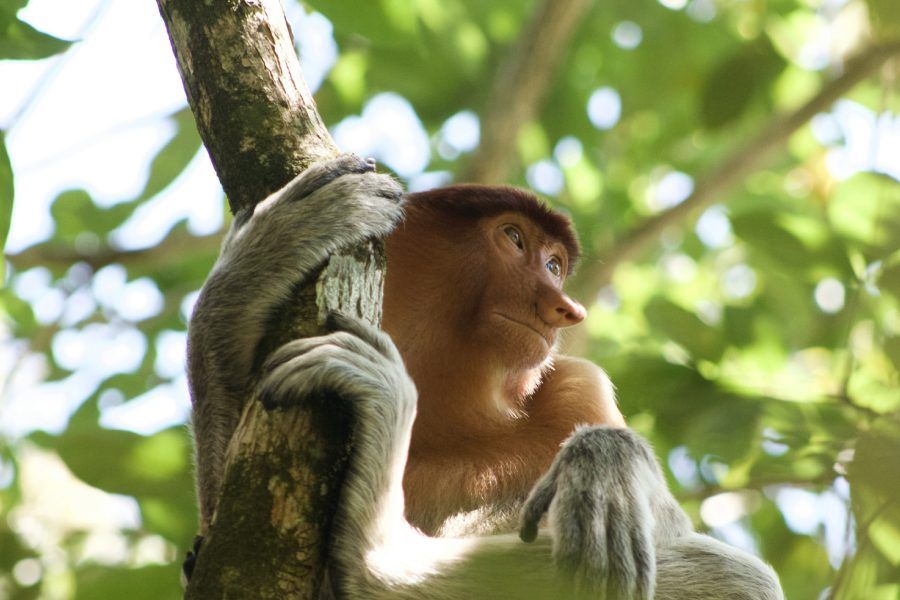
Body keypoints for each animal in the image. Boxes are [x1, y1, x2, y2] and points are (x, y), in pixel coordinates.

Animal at [186, 154, 784, 599]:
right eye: (514, 238)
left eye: (555, 264)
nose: (565, 309)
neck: (455, 417)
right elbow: (224, 557)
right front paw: (255, 261)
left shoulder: (578, 388)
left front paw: (604, 461)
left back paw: (377, 558)